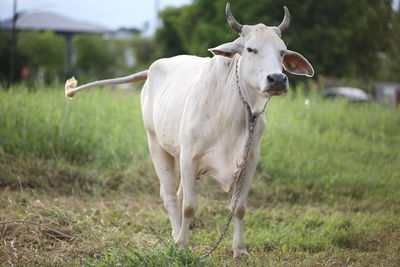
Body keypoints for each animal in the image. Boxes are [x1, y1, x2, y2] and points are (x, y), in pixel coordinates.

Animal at [65, 3, 314, 260]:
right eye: (251, 49)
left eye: (282, 52)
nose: (277, 79)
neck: (235, 110)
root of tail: (153, 68)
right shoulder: (189, 156)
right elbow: (189, 206)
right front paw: (183, 246)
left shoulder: (250, 160)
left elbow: (239, 208)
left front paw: (240, 250)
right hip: (156, 145)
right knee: (170, 195)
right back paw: (176, 237)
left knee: (179, 193)